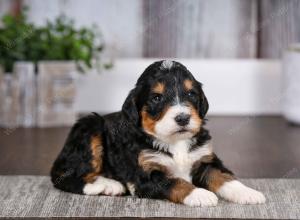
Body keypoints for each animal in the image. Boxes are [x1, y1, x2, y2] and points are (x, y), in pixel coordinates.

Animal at [50, 60, 266, 206]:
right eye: (156, 98)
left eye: (191, 94)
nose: (182, 118)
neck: (175, 141)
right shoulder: (145, 175)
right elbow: (175, 182)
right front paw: (200, 194)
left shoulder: (205, 159)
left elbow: (223, 176)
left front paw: (248, 193)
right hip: (90, 126)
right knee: (66, 177)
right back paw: (107, 185)